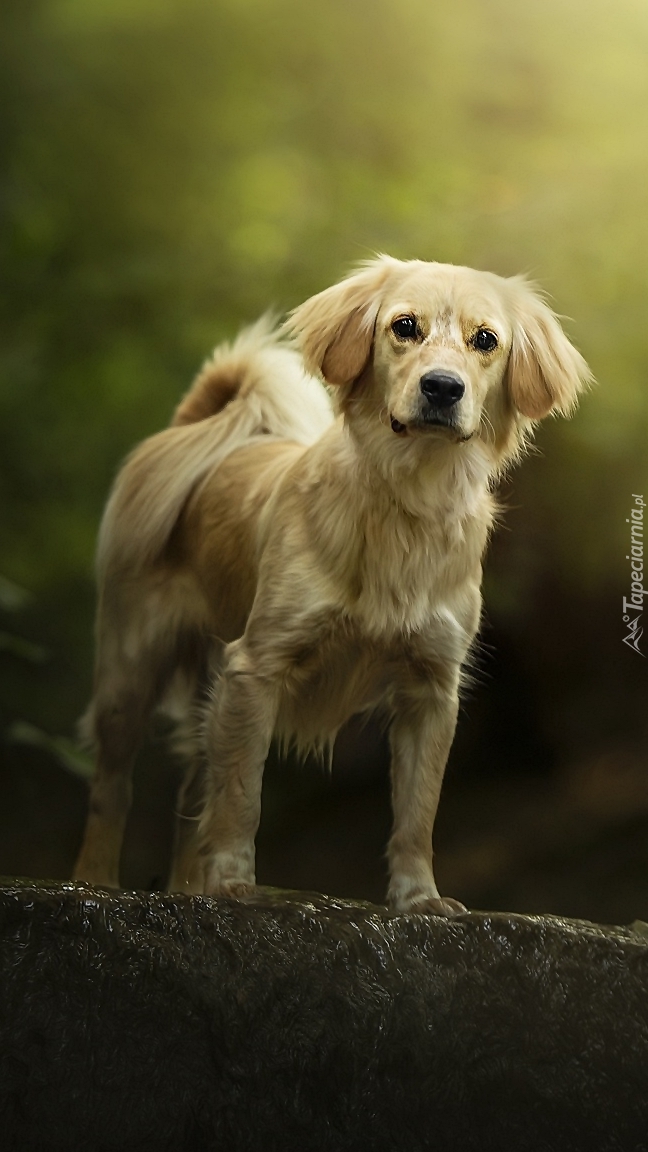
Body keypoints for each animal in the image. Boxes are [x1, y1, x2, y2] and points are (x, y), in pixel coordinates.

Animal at [73, 256, 588, 912]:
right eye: (404, 326)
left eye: (486, 340)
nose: (443, 387)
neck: (408, 499)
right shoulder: (256, 667)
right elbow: (242, 794)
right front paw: (235, 882)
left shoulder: (430, 689)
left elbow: (417, 811)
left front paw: (419, 898)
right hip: (130, 668)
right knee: (113, 785)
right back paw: (93, 880)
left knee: (193, 794)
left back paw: (190, 890)